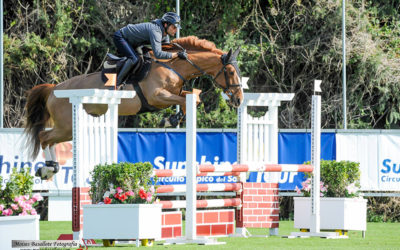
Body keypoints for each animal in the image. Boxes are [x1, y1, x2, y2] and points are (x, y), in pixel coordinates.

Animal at [24, 35, 244, 180]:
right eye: (230, 72)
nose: (239, 100)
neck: (174, 65)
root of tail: (54, 89)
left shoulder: (175, 93)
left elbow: (190, 99)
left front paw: (173, 119)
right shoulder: (156, 96)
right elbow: (185, 101)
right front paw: (170, 120)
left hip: (71, 128)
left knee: (49, 139)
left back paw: (50, 168)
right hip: (67, 126)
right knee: (44, 137)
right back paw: (48, 168)